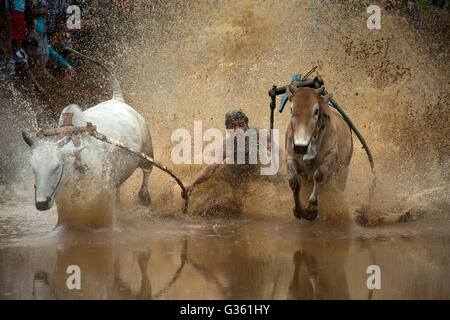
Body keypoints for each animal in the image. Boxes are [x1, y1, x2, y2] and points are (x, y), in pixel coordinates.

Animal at [22, 49, 153, 228]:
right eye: (32, 167)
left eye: (56, 167)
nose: (41, 204)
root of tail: (118, 99)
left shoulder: (102, 193)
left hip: (147, 149)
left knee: (147, 172)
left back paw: (144, 197)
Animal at [286, 85, 354, 220]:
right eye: (291, 109)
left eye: (316, 111)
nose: (300, 147)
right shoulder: (290, 157)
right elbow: (295, 182)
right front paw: (299, 210)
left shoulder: (331, 155)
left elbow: (318, 175)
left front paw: (311, 208)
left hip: (343, 172)